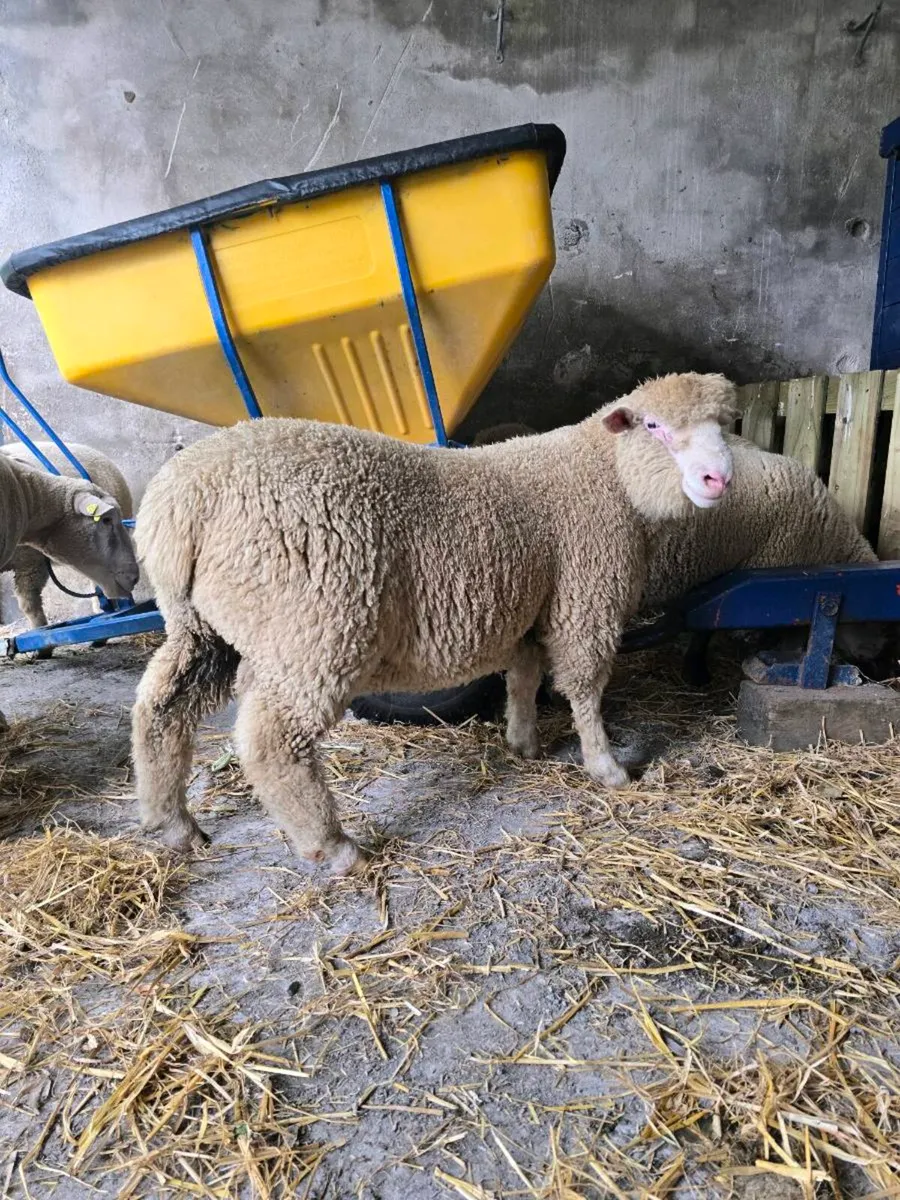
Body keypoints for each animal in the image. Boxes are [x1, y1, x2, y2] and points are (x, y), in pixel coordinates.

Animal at [131, 371, 737, 874]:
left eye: (724, 425)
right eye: (654, 426)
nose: (719, 479)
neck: (607, 475)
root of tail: (183, 500)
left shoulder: (529, 606)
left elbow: (524, 676)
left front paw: (523, 742)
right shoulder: (586, 599)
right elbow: (584, 688)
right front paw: (606, 766)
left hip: (203, 625)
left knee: (161, 708)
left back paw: (173, 823)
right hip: (313, 628)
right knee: (272, 741)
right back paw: (333, 847)